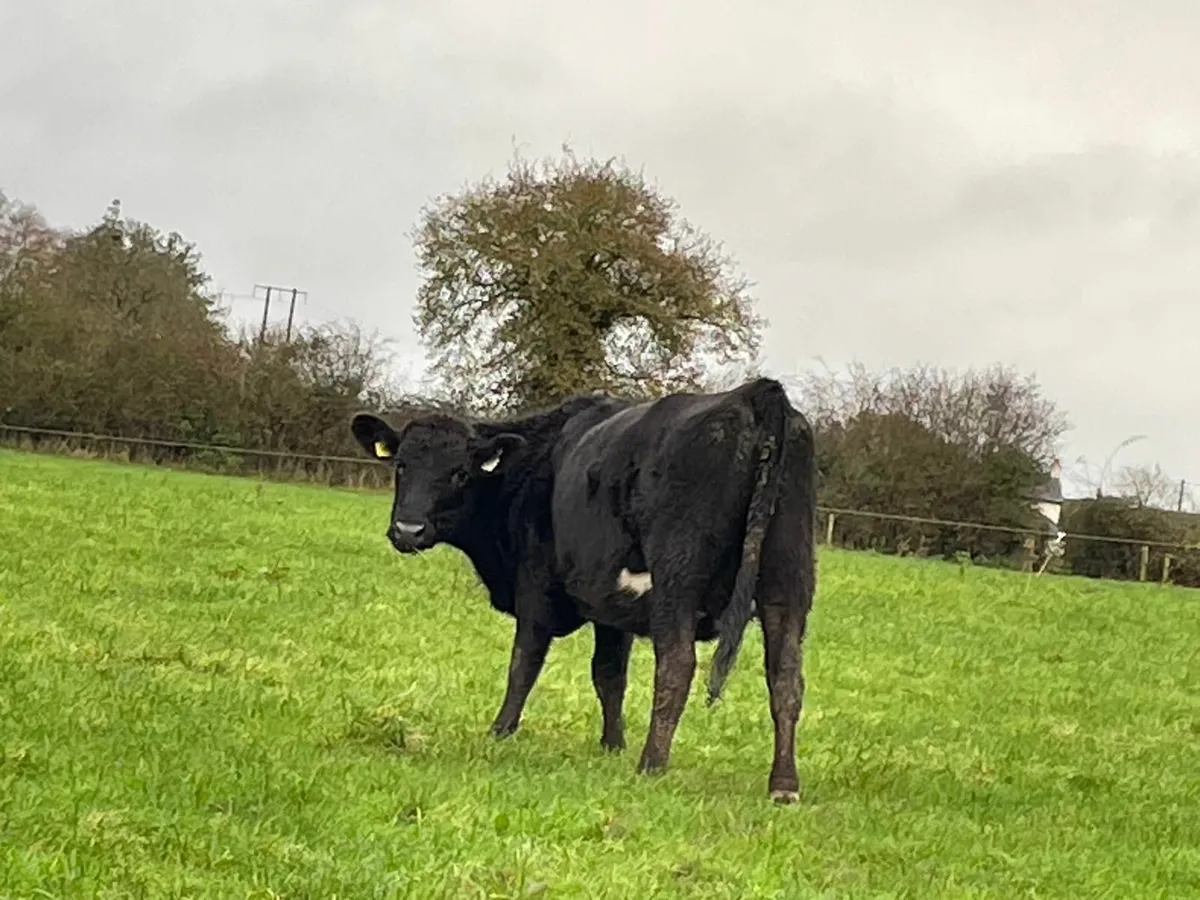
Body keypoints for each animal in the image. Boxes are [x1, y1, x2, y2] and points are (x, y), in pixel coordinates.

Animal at [349, 377, 817, 802]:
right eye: (401, 465)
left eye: (459, 473)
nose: (408, 529)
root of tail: (754, 392)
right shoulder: (612, 607)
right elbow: (609, 675)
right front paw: (613, 745)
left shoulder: (536, 586)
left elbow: (524, 663)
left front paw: (500, 731)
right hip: (788, 581)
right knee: (786, 677)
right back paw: (783, 785)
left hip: (678, 579)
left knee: (677, 666)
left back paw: (651, 765)